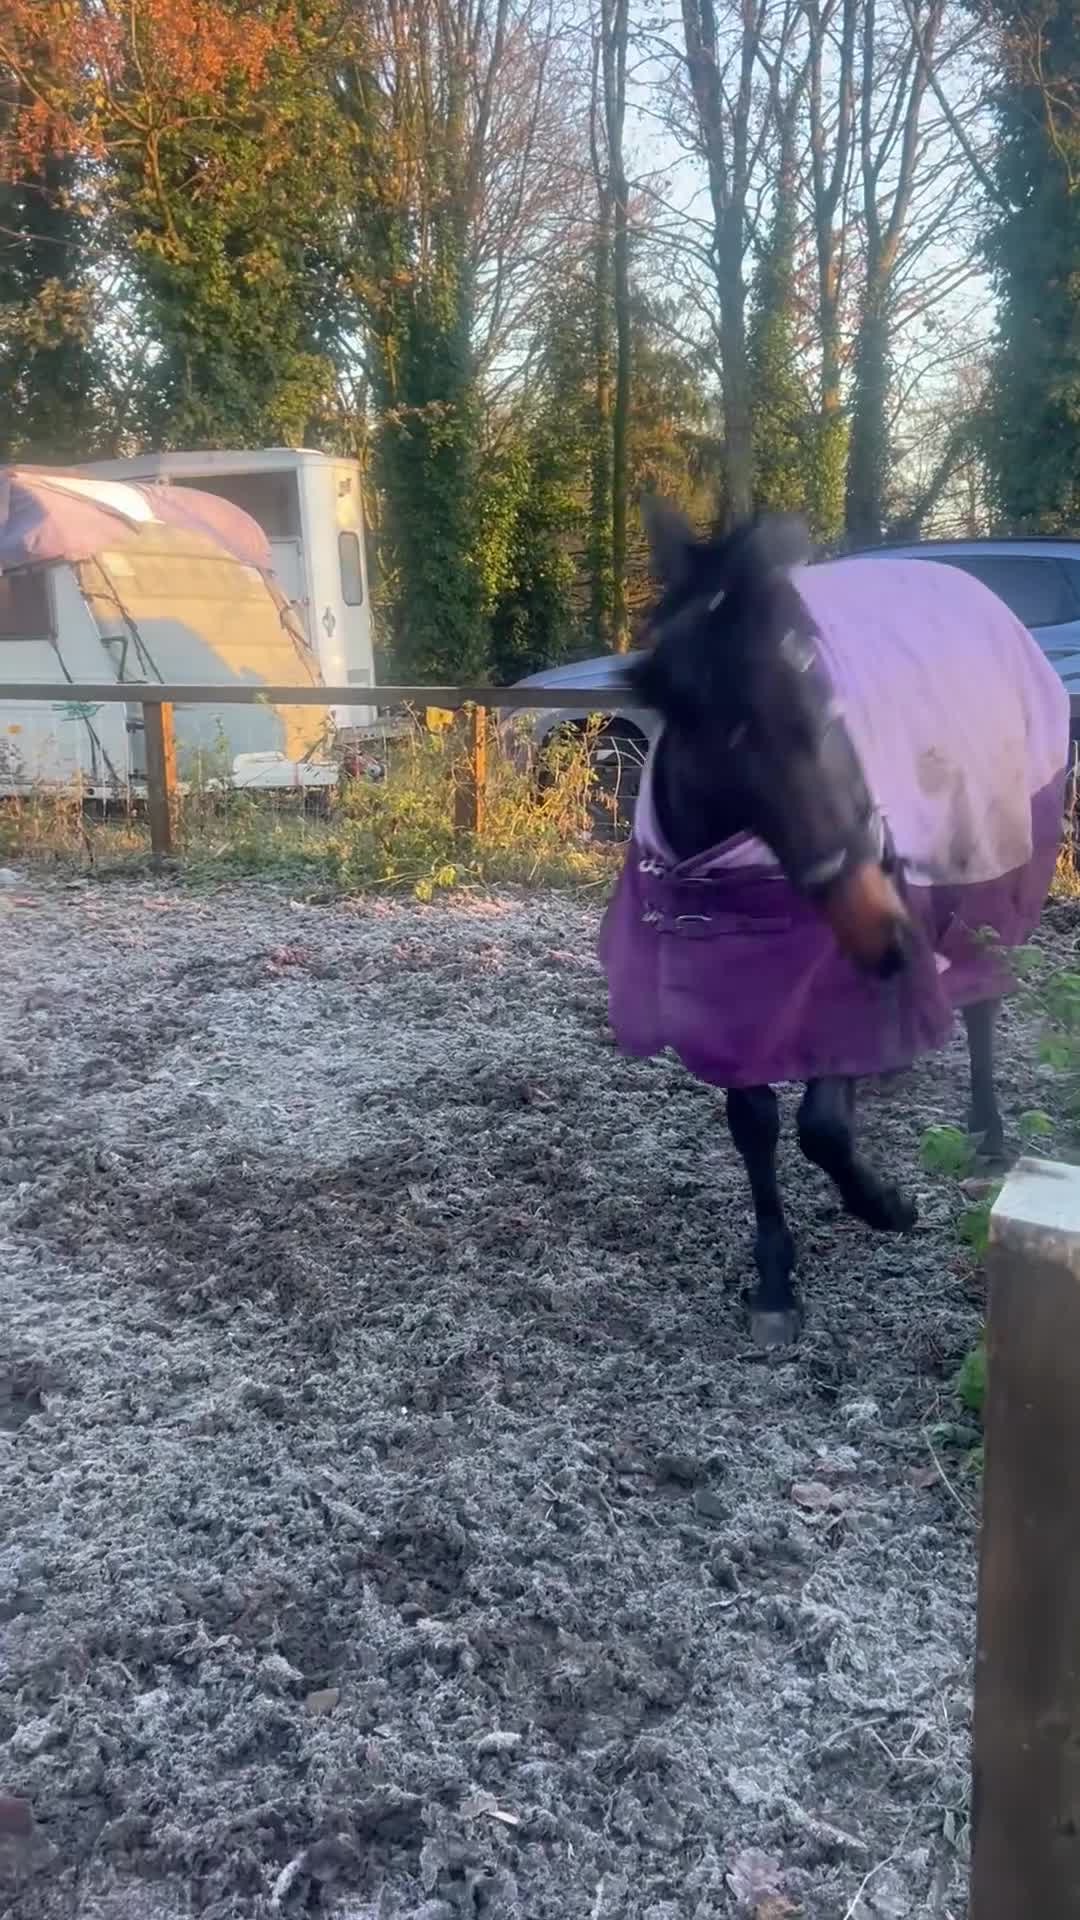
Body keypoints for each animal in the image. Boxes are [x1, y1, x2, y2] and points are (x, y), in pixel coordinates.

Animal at [599, 502, 1070, 1346]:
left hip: (985, 887)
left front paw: (885, 1206)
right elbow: (754, 1121)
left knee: (981, 998)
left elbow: (820, 1126)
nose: (878, 929)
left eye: (825, 695)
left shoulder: (835, 979)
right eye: (698, 713)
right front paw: (774, 1278)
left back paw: (986, 1132)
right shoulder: (730, 993)